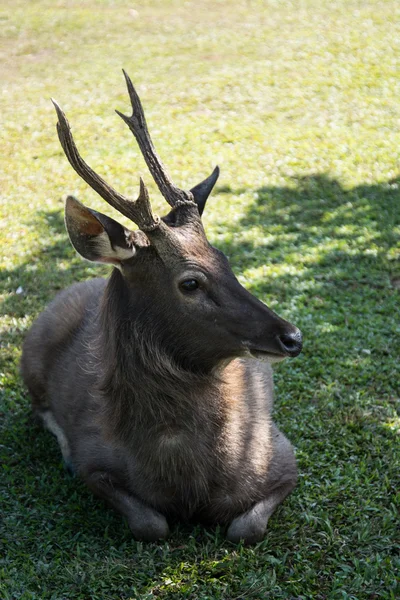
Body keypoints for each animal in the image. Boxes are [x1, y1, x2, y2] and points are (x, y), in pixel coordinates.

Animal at [21, 70, 304, 544]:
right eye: (190, 282)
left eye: (226, 259)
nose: (292, 336)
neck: (187, 483)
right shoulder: (95, 458)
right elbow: (150, 523)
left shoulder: (284, 454)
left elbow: (245, 528)